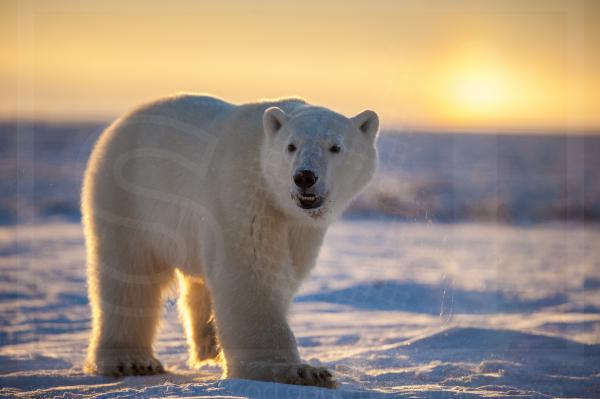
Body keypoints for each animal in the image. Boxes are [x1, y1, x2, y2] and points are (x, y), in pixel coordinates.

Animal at [82, 93, 378, 388]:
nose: (304, 177)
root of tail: (119, 124)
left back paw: (209, 345)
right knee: (129, 275)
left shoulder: (301, 229)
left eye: (335, 147)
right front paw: (300, 372)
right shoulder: (243, 195)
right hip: (127, 196)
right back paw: (131, 361)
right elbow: (251, 275)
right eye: (291, 146)